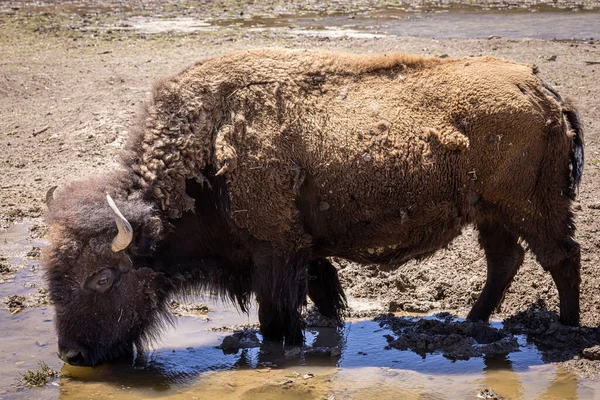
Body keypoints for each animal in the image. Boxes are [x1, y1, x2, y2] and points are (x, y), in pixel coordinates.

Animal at [44, 48, 584, 368]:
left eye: (102, 278)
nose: (71, 354)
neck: (204, 156)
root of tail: (543, 91)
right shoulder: (307, 253)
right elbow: (324, 298)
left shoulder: (275, 254)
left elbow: (276, 318)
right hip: (491, 213)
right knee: (505, 261)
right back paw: (471, 324)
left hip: (532, 208)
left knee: (561, 257)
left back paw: (567, 331)